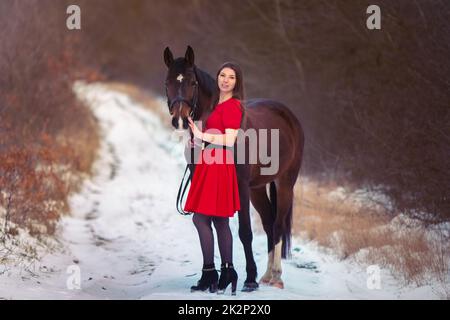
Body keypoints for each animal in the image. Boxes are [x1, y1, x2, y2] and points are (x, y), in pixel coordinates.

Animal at [163, 46, 304, 292]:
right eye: (167, 82)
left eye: (192, 82)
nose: (180, 120)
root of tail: (289, 116)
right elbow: (212, 224)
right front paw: (212, 279)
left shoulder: (241, 186)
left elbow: (244, 232)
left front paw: (248, 279)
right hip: (258, 189)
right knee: (268, 223)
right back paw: (266, 275)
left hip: (285, 183)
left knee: (277, 225)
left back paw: (274, 277)